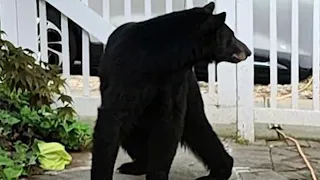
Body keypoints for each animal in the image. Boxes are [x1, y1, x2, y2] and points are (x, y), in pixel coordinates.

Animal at [91, 1, 251, 180]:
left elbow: (169, 123)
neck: (161, 58)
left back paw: (219, 171)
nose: (249, 51)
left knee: (198, 127)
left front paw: (157, 174)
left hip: (190, 88)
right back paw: (137, 165)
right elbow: (113, 117)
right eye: (231, 37)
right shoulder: (128, 74)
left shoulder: (174, 81)